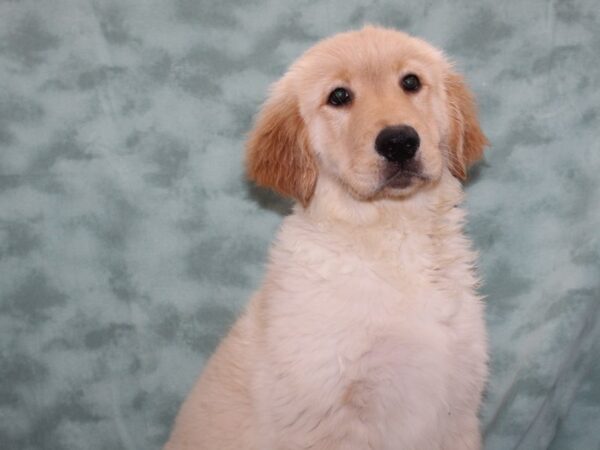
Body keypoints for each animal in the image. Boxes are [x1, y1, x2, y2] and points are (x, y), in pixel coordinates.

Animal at [164, 26, 488, 450]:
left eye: (411, 82)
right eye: (339, 97)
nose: (399, 141)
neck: (394, 235)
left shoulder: (457, 407)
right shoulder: (328, 415)